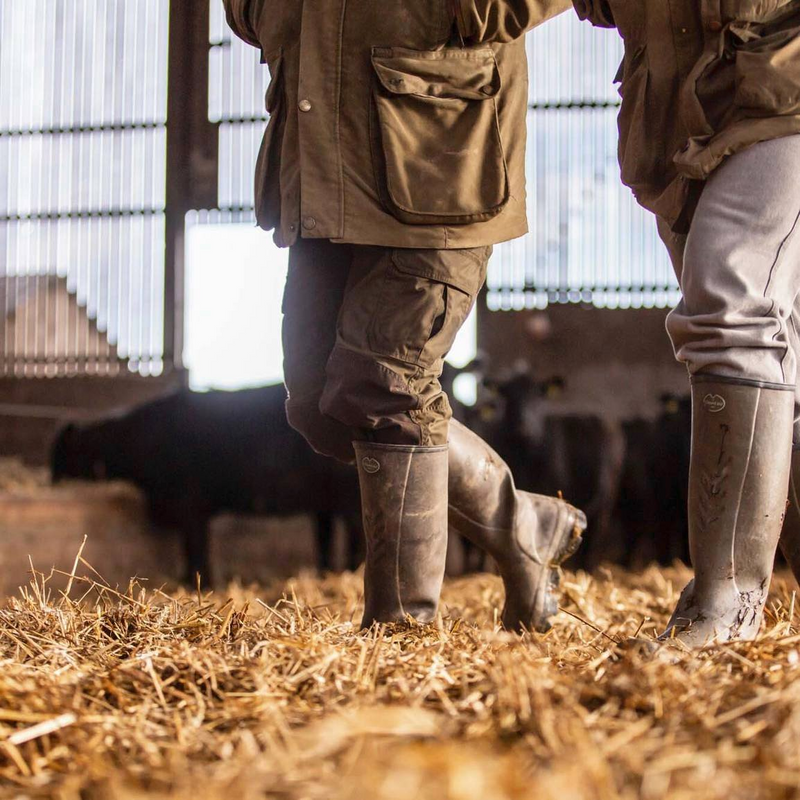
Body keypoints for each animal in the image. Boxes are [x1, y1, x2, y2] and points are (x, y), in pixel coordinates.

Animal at [50, 384, 362, 584]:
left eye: (60, 457)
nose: (52, 483)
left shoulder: (190, 505)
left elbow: (196, 547)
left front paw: (198, 582)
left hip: (350, 500)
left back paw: (351, 572)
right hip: (324, 501)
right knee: (325, 538)